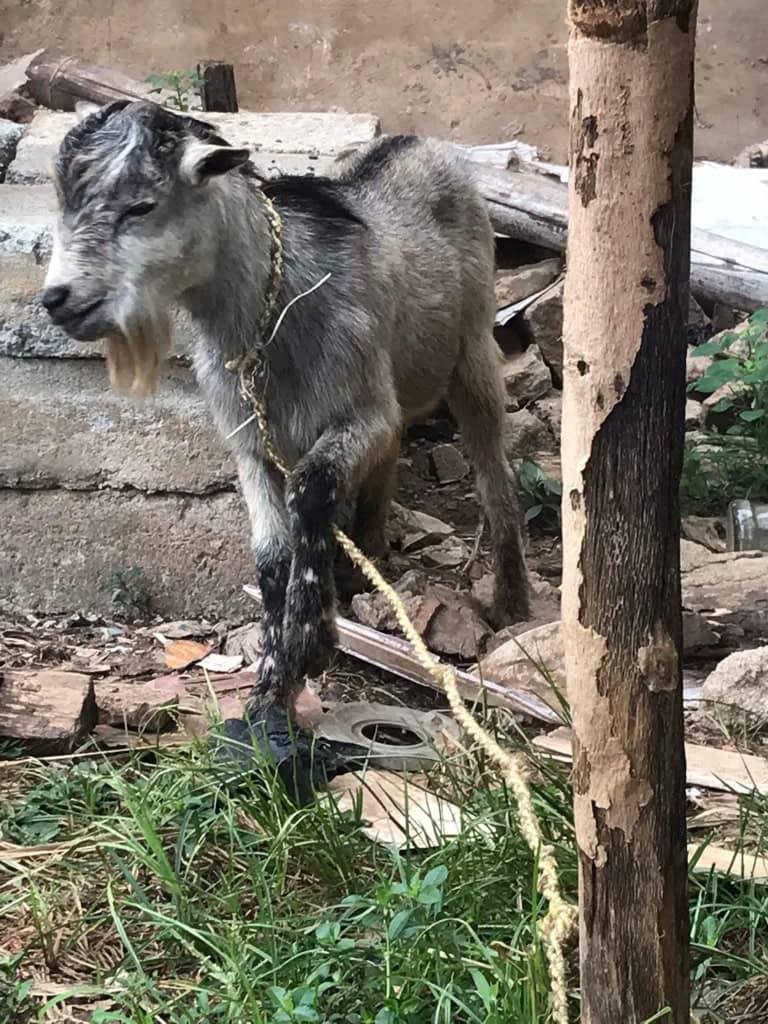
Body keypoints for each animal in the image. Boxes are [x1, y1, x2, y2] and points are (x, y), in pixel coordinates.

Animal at [42, 100, 530, 720]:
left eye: (140, 206)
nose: (57, 300)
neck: (273, 308)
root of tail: (417, 142)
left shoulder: (362, 410)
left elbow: (312, 488)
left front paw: (312, 640)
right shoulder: (249, 439)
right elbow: (271, 552)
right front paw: (270, 690)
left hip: (474, 346)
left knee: (491, 464)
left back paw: (511, 601)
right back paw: (366, 558)